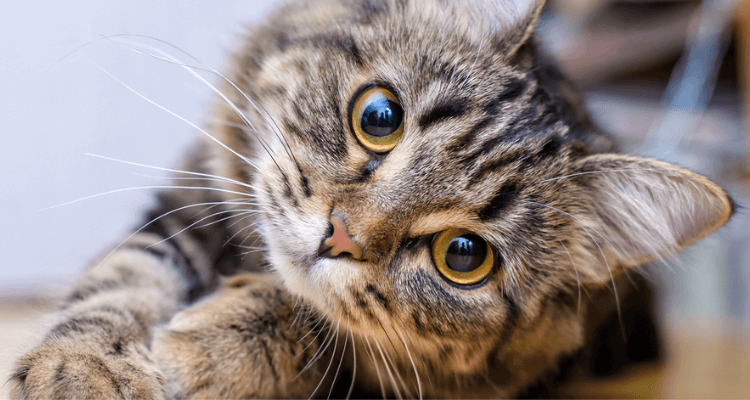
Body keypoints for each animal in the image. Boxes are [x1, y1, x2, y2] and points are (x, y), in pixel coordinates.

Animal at [7, 0, 736, 398]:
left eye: (463, 255)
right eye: (379, 116)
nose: (339, 236)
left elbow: (313, 322)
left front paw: (198, 346)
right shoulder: (188, 203)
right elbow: (119, 282)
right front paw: (81, 371)